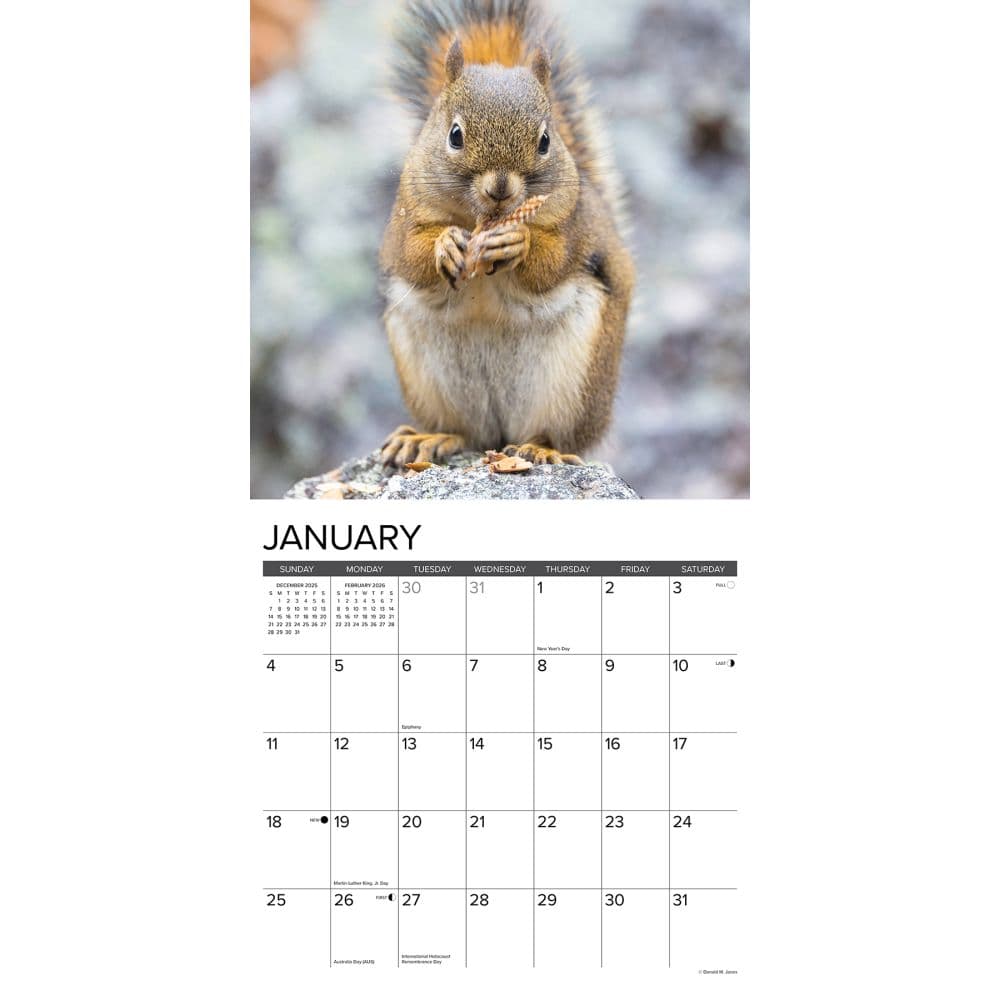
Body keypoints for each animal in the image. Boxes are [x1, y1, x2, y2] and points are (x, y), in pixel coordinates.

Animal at [379, 0, 634, 466]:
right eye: (454, 135)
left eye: (546, 140)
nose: (500, 188)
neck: (480, 218)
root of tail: (499, 434)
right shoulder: (403, 219)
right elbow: (409, 254)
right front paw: (445, 243)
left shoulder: (575, 227)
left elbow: (553, 263)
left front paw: (519, 242)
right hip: (430, 383)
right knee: (463, 431)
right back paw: (429, 438)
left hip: (572, 388)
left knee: (556, 434)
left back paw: (541, 448)